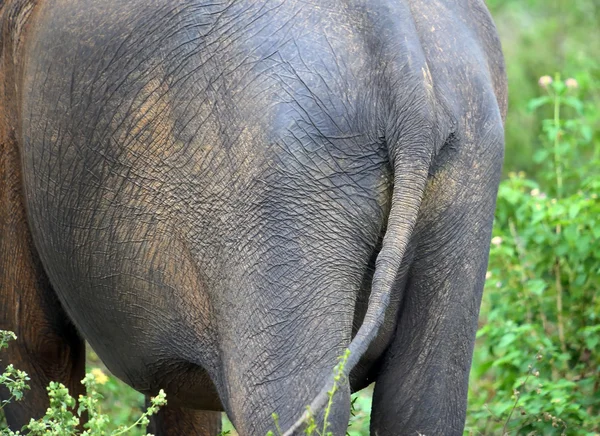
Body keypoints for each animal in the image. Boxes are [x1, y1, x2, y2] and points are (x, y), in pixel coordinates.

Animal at [1, 0, 506, 434]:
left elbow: (31, 341)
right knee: (423, 402)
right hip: (470, 162)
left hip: (283, 183)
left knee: (288, 405)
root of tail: (411, 87)